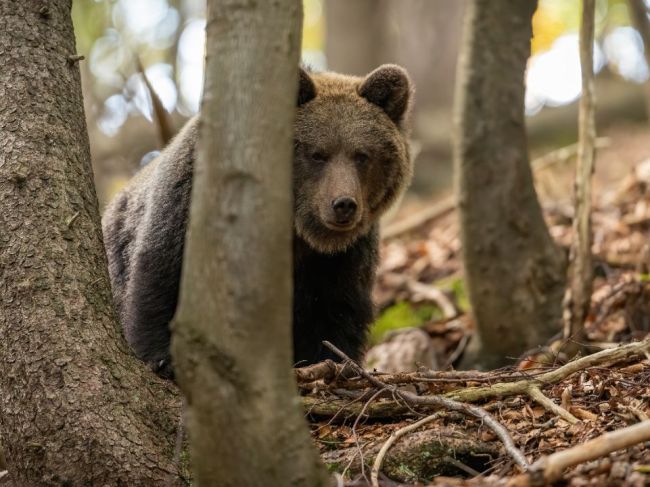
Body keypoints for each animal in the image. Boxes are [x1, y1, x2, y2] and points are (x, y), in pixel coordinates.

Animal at [104, 65, 412, 378]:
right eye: (317, 154)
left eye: (362, 155)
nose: (344, 204)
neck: (295, 227)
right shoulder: (190, 202)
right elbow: (161, 274)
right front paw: (162, 357)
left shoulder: (338, 257)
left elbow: (335, 310)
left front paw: (335, 362)